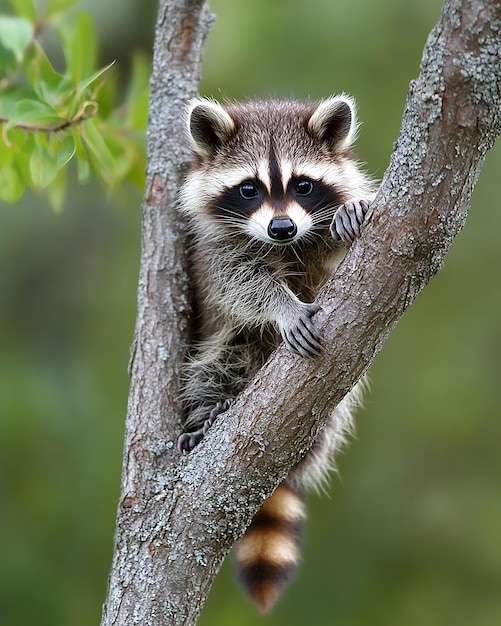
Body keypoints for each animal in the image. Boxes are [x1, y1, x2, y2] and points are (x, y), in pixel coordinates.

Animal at [176, 96, 376, 608]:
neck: (286, 245)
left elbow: (336, 266)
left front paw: (345, 221)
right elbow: (240, 285)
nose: (282, 227)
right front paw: (282, 306)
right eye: (249, 189)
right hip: (220, 346)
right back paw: (212, 408)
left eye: (302, 185)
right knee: (221, 357)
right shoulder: (212, 251)